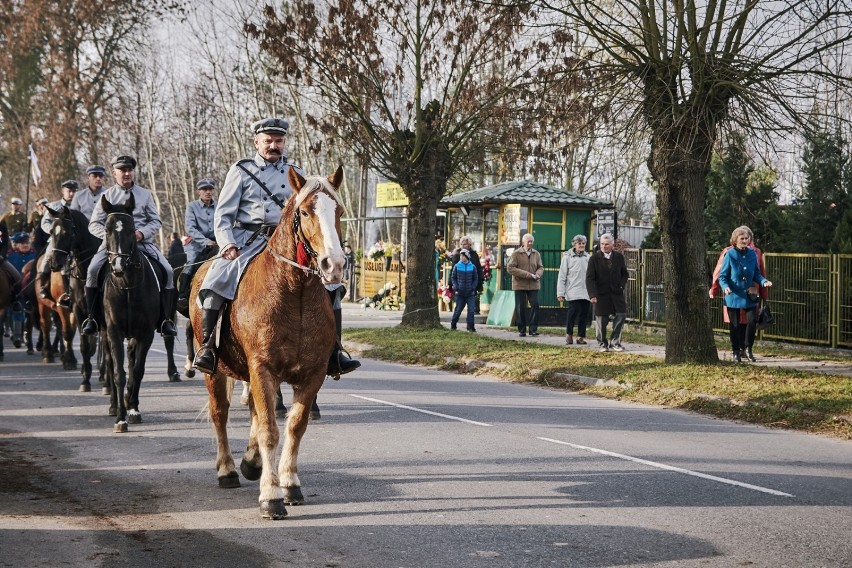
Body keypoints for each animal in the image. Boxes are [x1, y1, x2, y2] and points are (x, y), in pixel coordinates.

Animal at [99, 194, 161, 430]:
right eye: (106, 229)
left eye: (132, 229)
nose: (118, 265)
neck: (126, 286)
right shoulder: (114, 331)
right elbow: (118, 373)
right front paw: (121, 418)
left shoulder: (146, 333)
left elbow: (137, 370)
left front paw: (133, 409)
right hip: (104, 333)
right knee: (109, 364)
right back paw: (114, 405)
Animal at [188, 165, 344, 520]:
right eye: (305, 211)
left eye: (339, 211)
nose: (335, 265)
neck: (295, 293)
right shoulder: (262, 369)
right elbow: (271, 430)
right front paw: (271, 497)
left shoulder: (312, 374)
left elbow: (294, 426)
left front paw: (289, 484)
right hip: (215, 371)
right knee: (221, 413)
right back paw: (228, 470)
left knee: (255, 413)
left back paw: (251, 461)